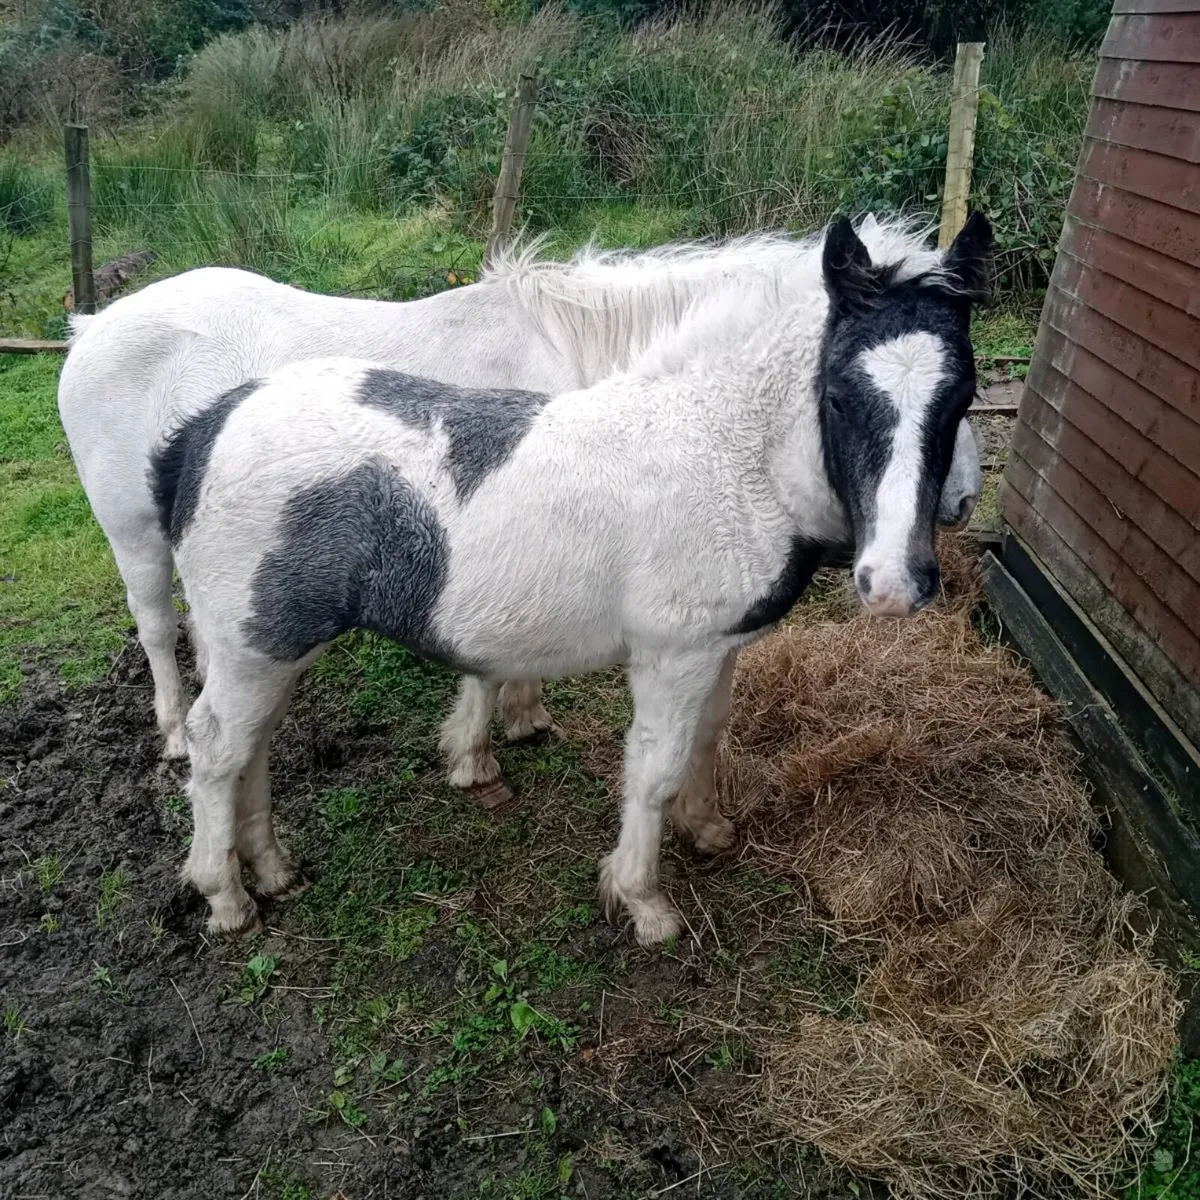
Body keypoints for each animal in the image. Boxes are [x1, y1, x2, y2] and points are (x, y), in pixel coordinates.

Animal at [150, 213, 993, 944]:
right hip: (255, 646)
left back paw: (270, 869)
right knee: (216, 747)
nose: (895, 582)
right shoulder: (671, 656)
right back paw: (224, 895)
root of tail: (206, 428)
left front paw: (708, 828)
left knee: (252, 746)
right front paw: (643, 900)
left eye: (963, 394)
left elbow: (707, 736)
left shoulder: (718, 647)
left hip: (271, 649)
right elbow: (652, 768)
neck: (720, 449)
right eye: (840, 396)